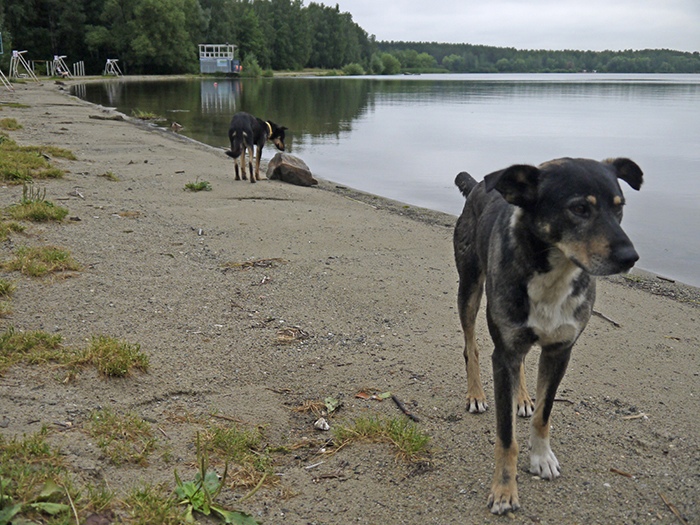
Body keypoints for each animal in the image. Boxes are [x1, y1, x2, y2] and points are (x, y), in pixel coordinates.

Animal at [454, 158, 644, 512]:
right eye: (579, 208)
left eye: (619, 206)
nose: (630, 258)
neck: (553, 271)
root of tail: (477, 186)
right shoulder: (503, 354)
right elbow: (506, 436)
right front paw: (504, 489)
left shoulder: (559, 351)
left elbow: (544, 414)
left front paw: (541, 457)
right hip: (469, 288)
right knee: (470, 346)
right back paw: (476, 393)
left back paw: (523, 397)